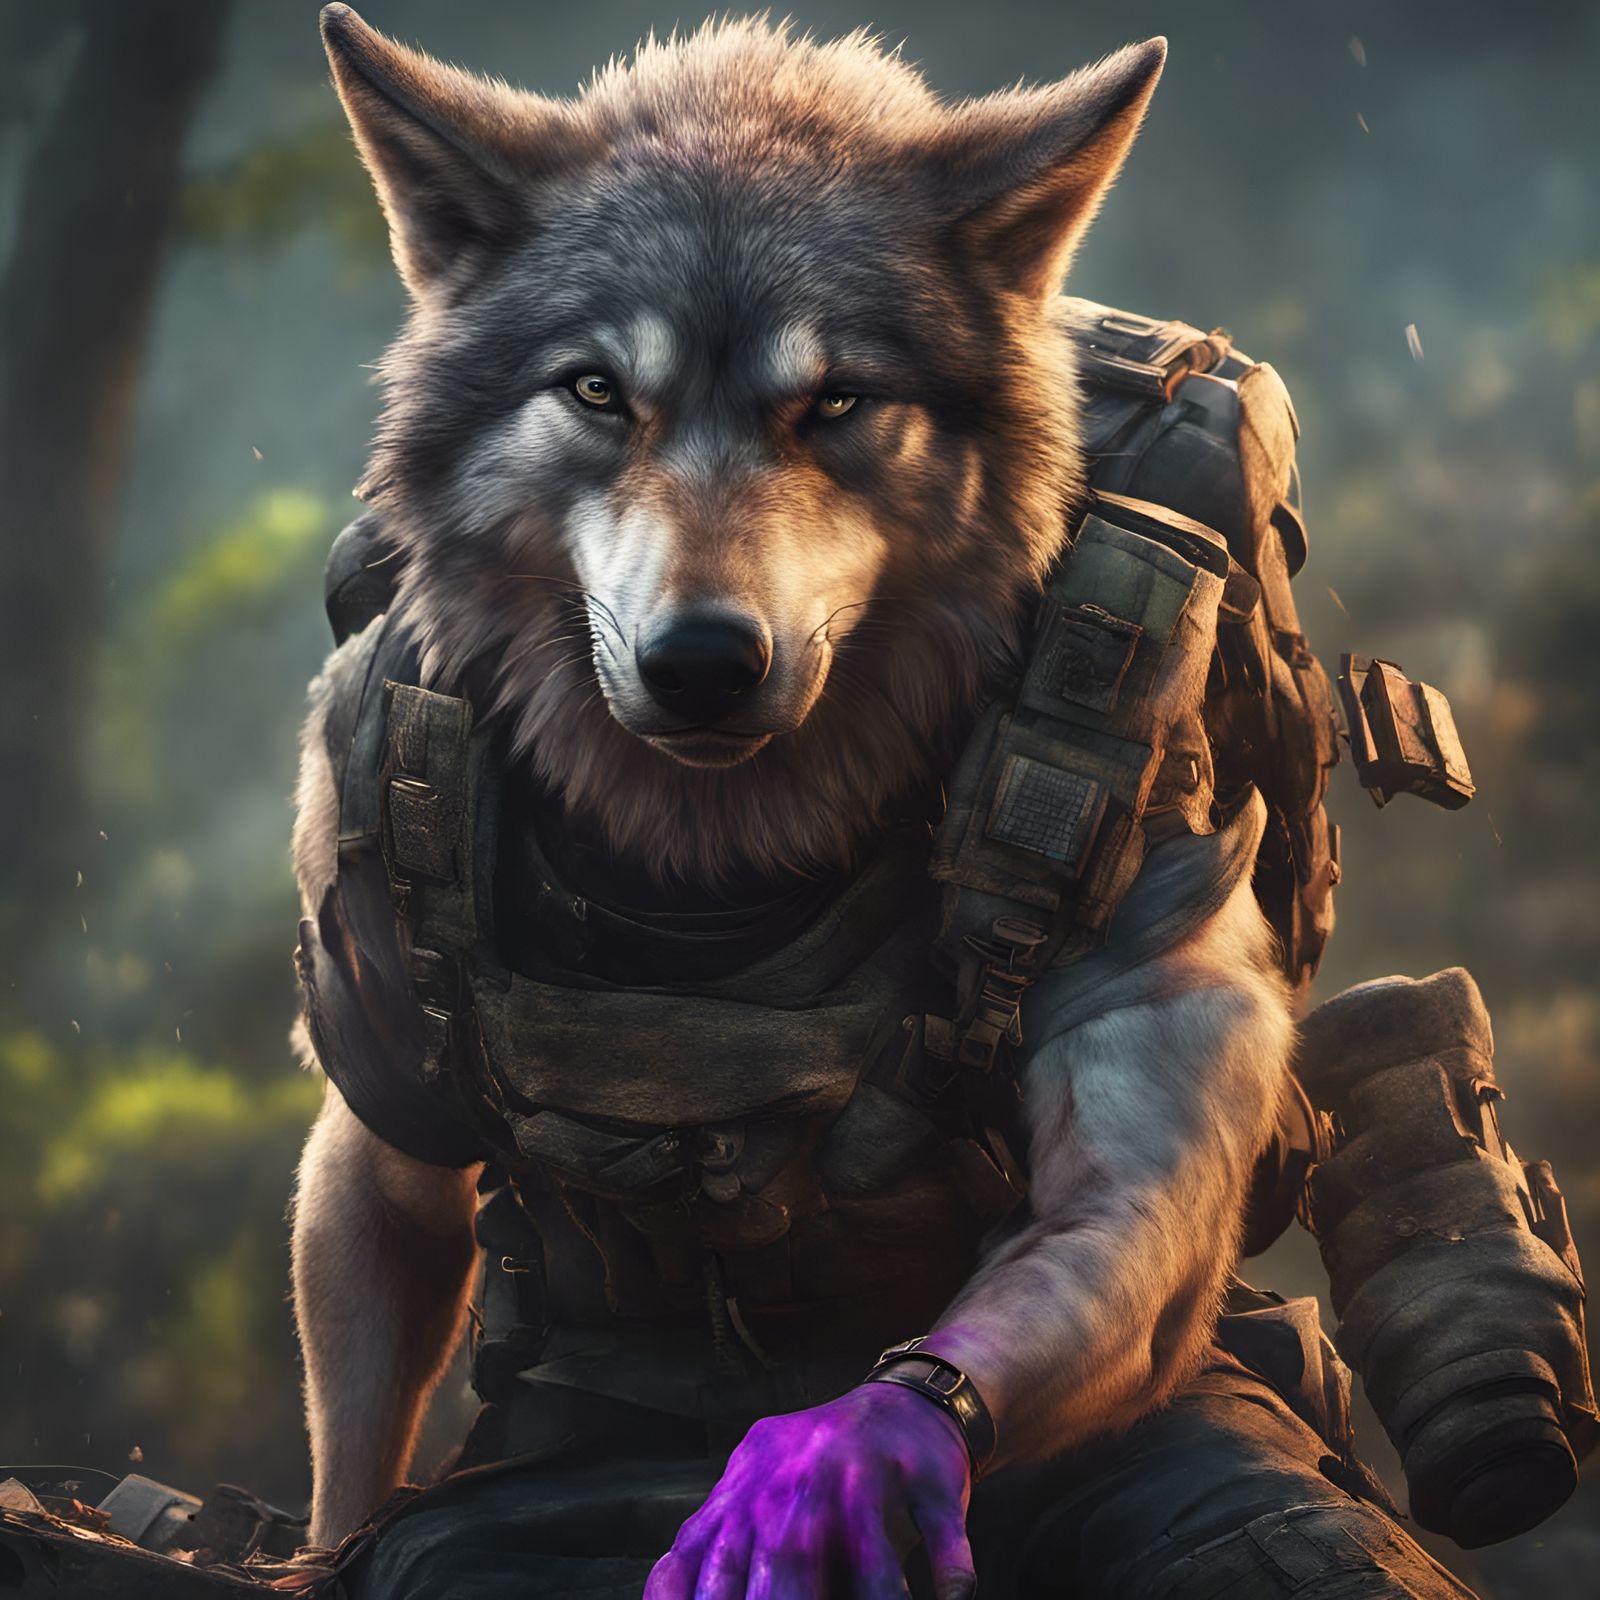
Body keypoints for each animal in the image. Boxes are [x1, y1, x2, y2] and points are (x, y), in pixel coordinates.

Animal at [289, 8, 1476, 1597]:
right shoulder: (362, 878)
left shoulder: (1155, 804)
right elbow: (386, 1241)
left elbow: (1116, 1189)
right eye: (598, 391)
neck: (713, 846)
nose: (702, 662)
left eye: (837, 399)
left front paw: (853, 1448)